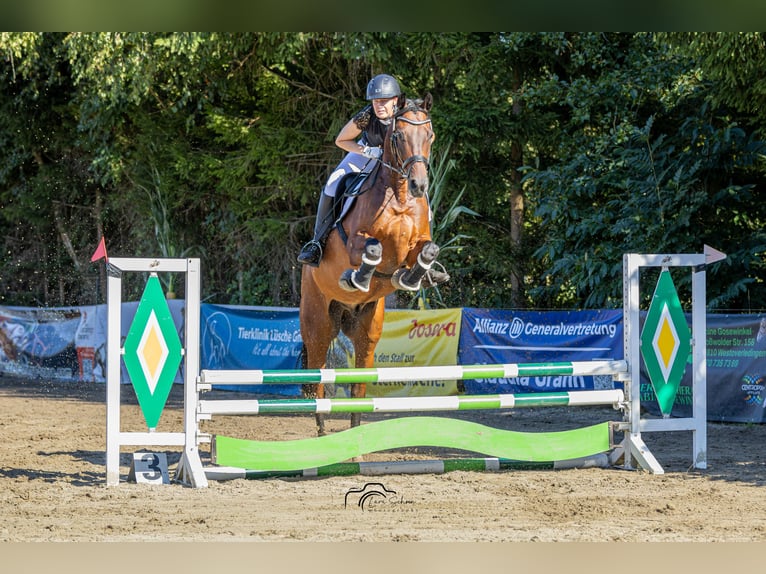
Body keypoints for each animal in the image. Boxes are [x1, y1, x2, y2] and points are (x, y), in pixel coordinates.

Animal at [299, 93, 439, 436]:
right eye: (398, 136)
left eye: (429, 135)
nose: (419, 185)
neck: (399, 197)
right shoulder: (354, 244)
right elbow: (372, 248)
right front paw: (359, 278)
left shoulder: (416, 245)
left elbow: (428, 251)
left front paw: (411, 279)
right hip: (317, 323)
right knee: (318, 377)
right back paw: (321, 432)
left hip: (367, 329)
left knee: (359, 385)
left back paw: (354, 433)